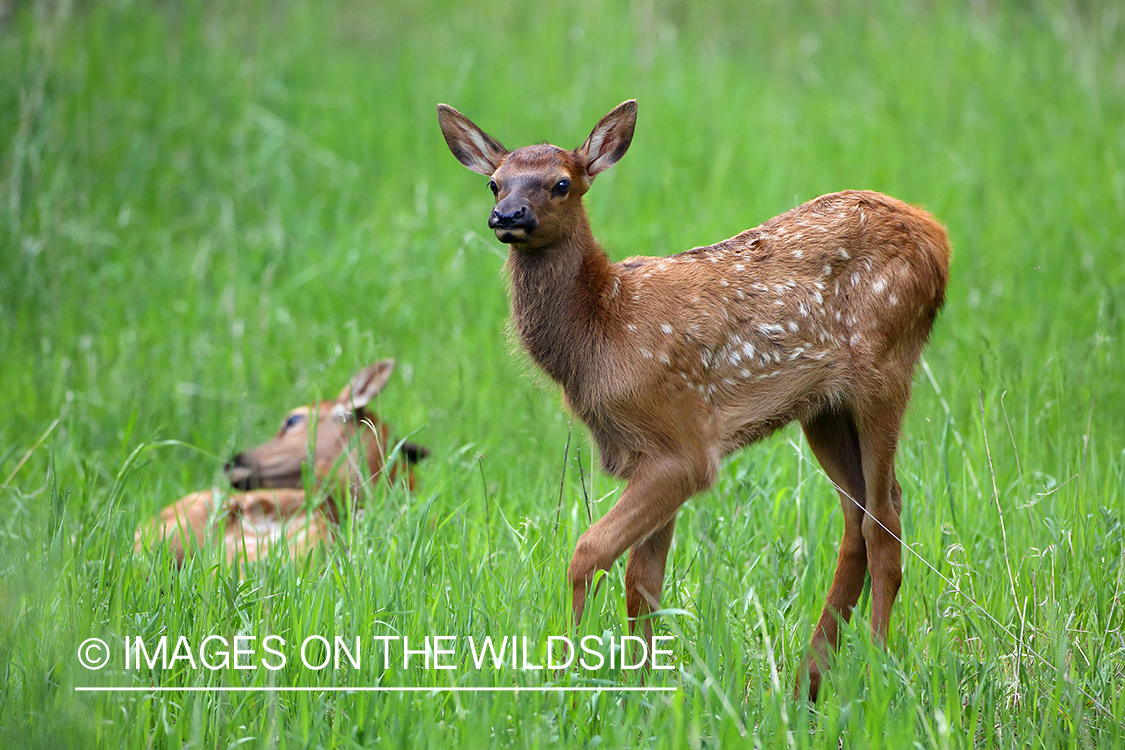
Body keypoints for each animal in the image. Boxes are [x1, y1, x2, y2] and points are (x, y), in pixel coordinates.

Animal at [438, 98, 949, 697]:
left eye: (562, 183)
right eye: (494, 183)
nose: (508, 216)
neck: (602, 332)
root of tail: (937, 234)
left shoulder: (683, 445)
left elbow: (587, 553)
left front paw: (566, 672)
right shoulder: (648, 455)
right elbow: (643, 583)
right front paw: (639, 692)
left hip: (886, 367)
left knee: (884, 519)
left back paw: (875, 671)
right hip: (823, 407)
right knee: (859, 517)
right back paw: (809, 679)